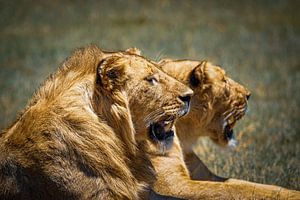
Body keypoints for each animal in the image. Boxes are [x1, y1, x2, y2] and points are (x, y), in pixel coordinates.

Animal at [148, 59, 300, 198]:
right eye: (224, 81)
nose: (249, 95)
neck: (184, 137)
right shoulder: (172, 186)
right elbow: (231, 189)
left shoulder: (204, 174)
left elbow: (249, 185)